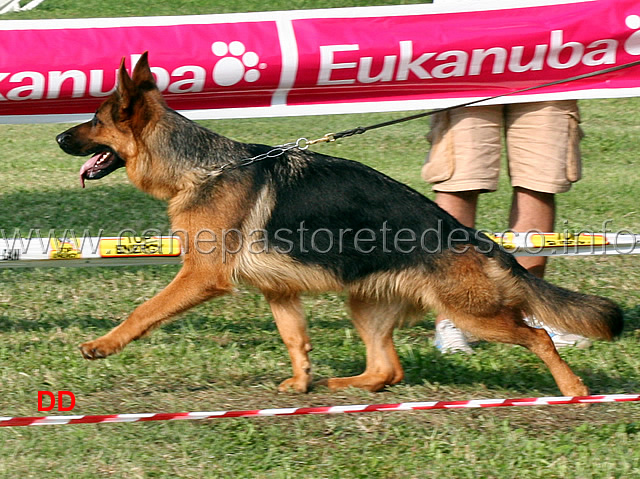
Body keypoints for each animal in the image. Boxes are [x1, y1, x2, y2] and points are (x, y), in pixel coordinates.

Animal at [56, 53, 620, 398]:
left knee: (537, 336)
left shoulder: (200, 277)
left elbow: (144, 311)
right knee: (387, 369)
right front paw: (301, 383)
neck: (200, 167)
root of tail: (478, 241)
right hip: (365, 304)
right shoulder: (279, 291)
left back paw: (573, 389)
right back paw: (339, 386)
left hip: (472, 313)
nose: (59, 138)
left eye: (96, 120)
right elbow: (295, 339)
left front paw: (102, 346)